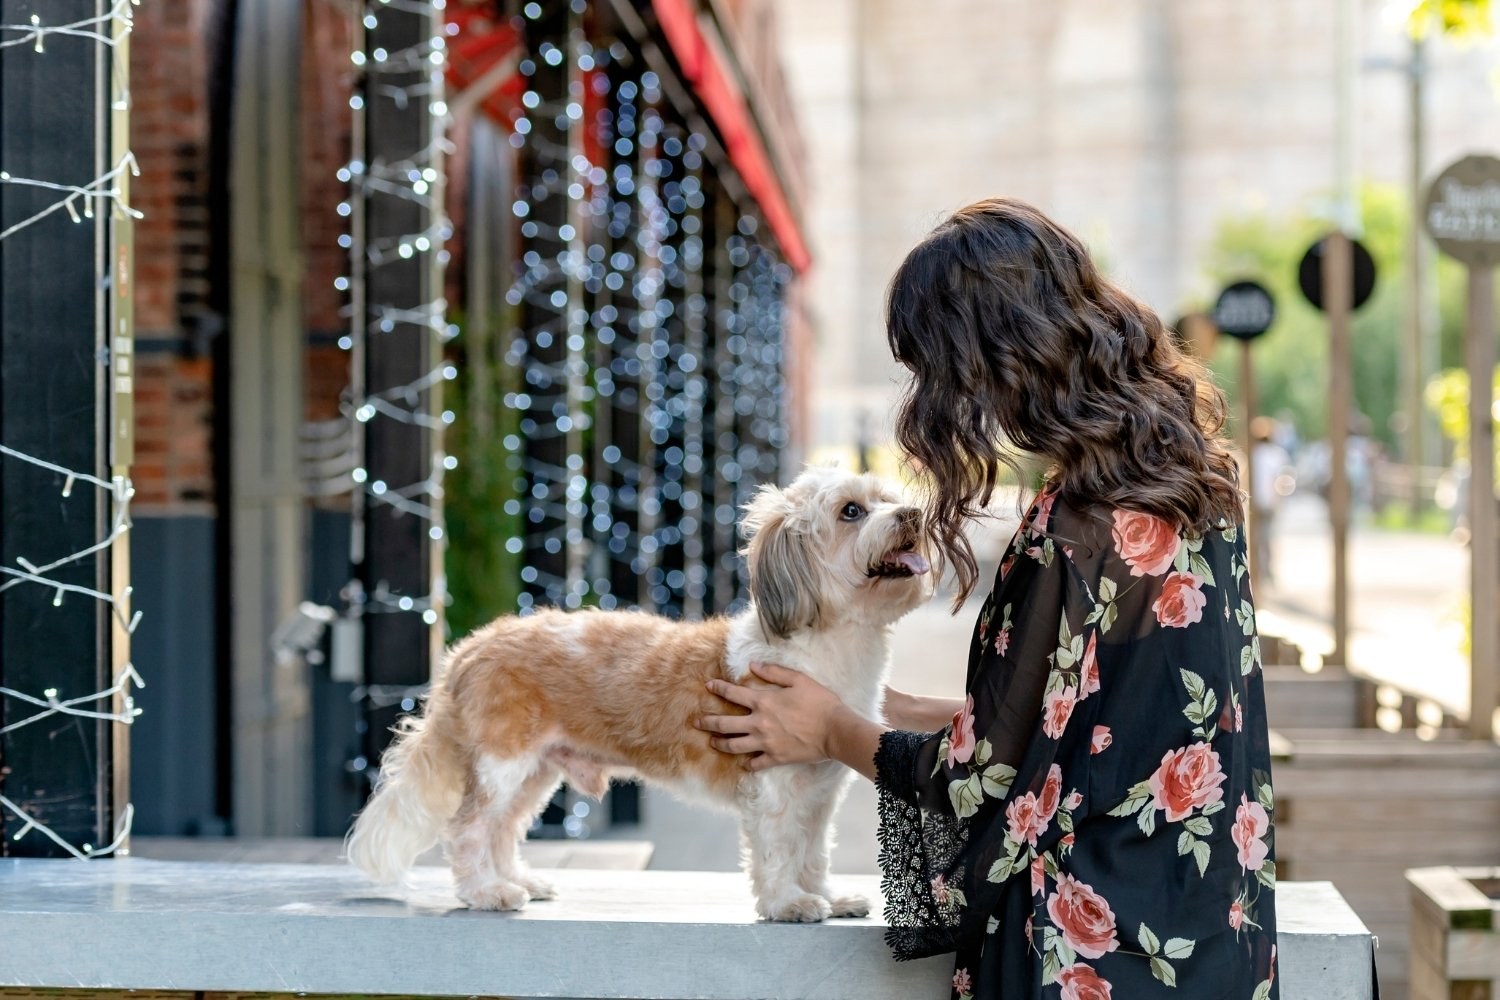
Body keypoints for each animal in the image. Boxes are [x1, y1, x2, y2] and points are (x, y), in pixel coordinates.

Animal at [346, 467, 930, 923]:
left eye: (889, 497)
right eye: (851, 510)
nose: (912, 515)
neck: (828, 648)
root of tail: (470, 649)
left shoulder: (818, 790)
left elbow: (813, 850)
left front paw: (828, 896)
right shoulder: (772, 784)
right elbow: (780, 847)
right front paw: (789, 902)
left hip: (535, 772)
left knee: (503, 828)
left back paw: (519, 881)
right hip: (504, 763)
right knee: (469, 829)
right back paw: (486, 892)